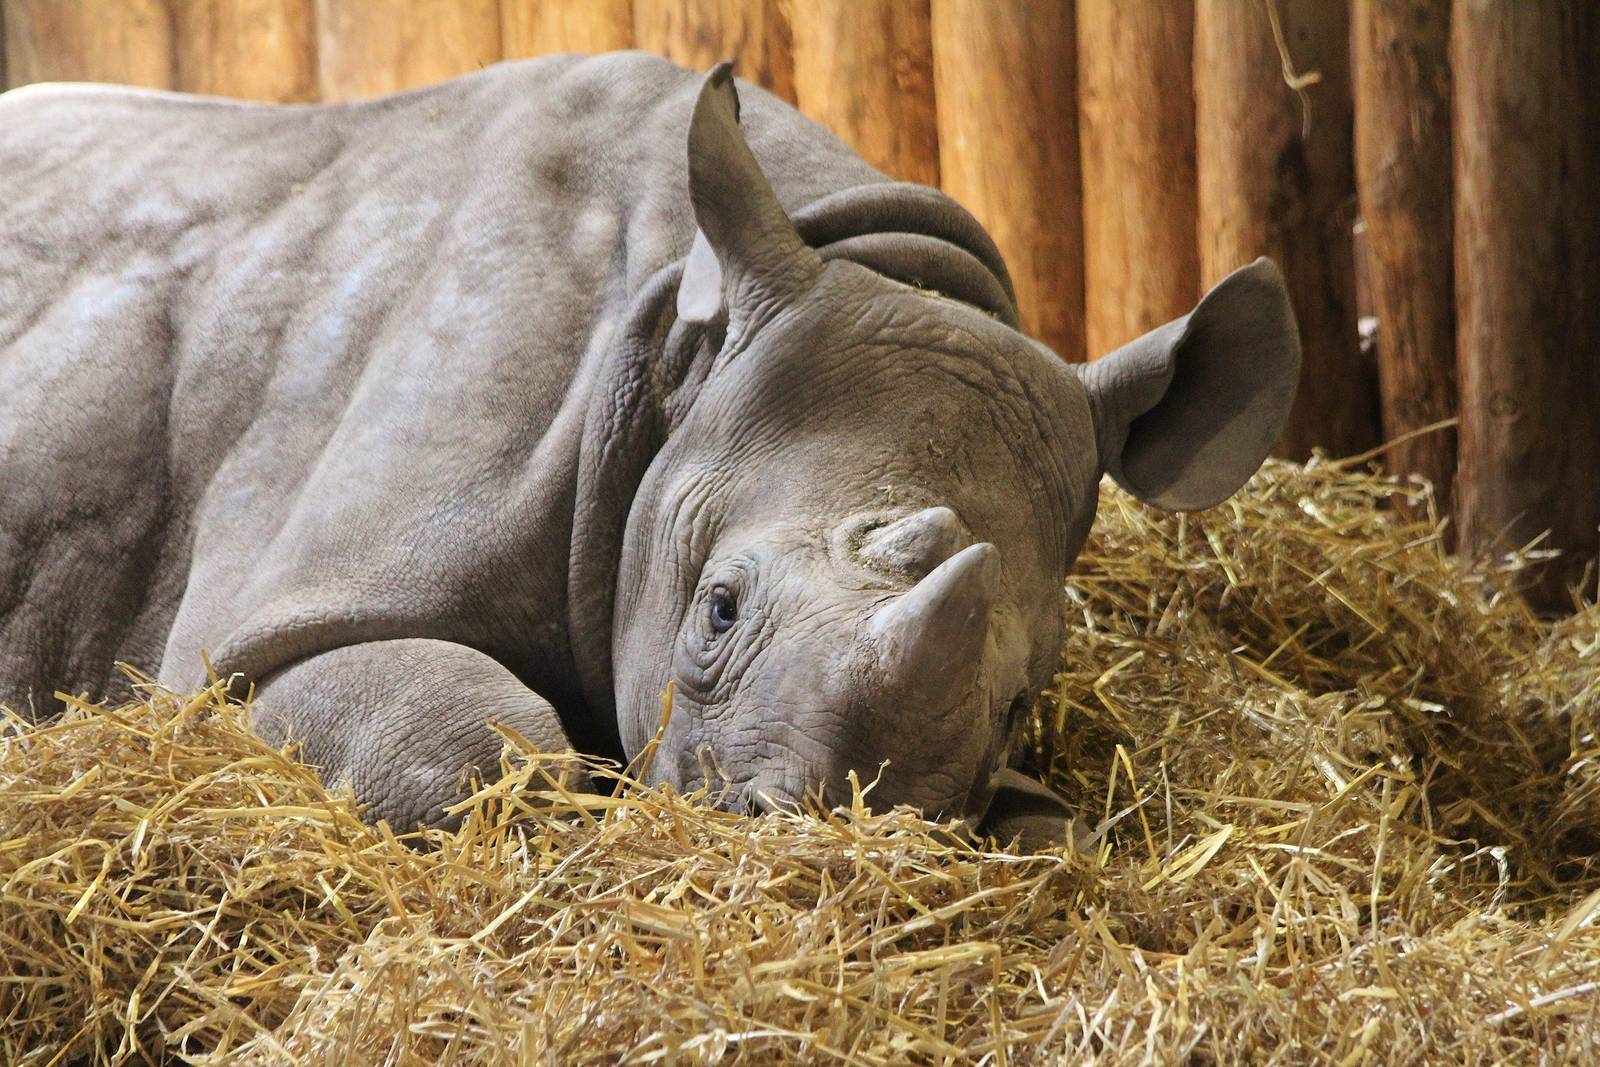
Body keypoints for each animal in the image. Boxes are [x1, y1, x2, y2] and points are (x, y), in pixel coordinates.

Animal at [0, 55, 1298, 842]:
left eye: (1021, 702)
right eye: (718, 608)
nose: (818, 837)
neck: (686, 353)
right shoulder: (272, 623)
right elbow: (480, 746)